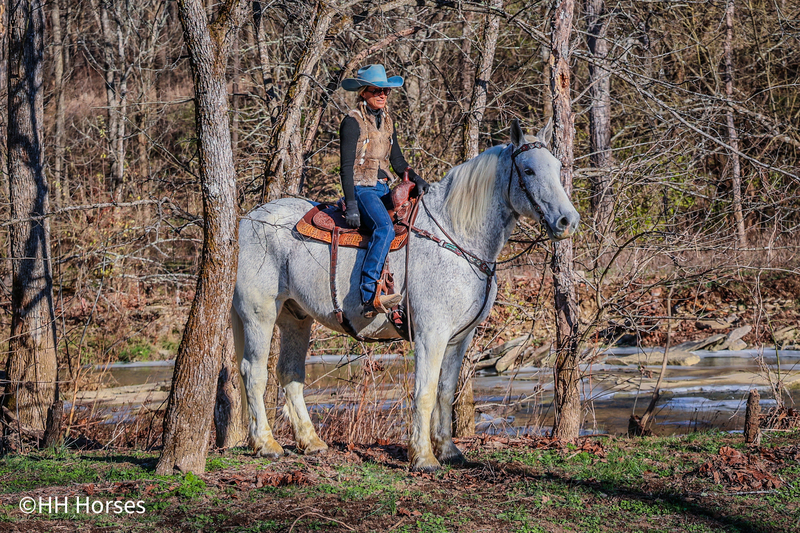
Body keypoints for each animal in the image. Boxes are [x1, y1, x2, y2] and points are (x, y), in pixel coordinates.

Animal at [233, 119, 580, 470]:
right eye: (529, 170)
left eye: (557, 167)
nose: (568, 220)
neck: (455, 235)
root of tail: (247, 220)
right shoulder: (432, 333)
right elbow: (425, 392)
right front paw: (423, 457)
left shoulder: (459, 337)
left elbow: (445, 391)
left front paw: (448, 450)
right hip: (259, 313)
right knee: (254, 372)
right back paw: (266, 444)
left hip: (296, 318)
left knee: (289, 373)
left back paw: (311, 442)